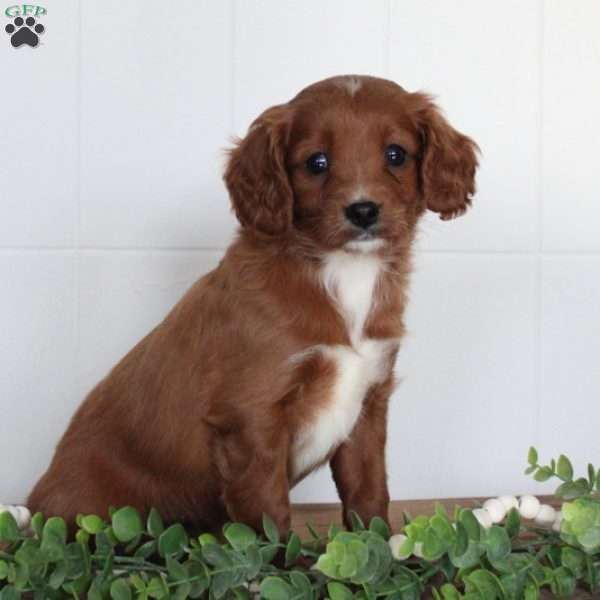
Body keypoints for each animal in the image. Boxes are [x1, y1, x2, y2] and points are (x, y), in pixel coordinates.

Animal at [28, 76, 478, 536]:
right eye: (316, 162)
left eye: (396, 154)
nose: (363, 210)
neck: (341, 272)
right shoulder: (251, 415)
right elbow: (266, 510)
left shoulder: (368, 404)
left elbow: (368, 490)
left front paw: (379, 547)